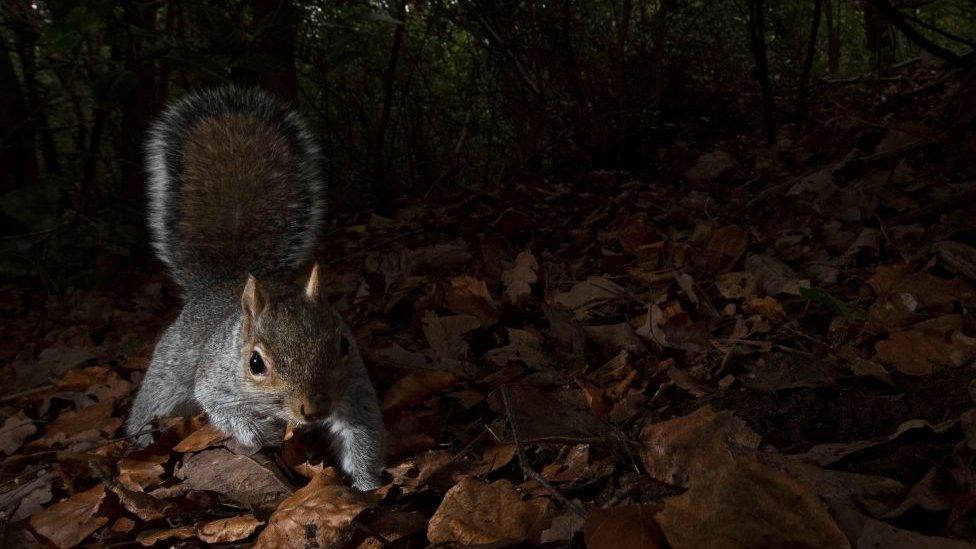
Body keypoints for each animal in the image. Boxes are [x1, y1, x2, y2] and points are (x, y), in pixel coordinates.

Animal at [127, 88, 386, 490]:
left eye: (344, 344)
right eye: (254, 363)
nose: (314, 409)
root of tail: (223, 281)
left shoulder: (353, 386)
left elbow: (362, 433)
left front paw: (368, 486)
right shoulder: (215, 379)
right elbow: (221, 407)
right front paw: (260, 432)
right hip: (168, 373)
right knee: (152, 403)